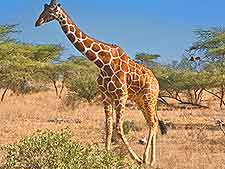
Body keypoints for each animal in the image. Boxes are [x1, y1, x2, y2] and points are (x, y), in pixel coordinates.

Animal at [34, 0, 165, 166]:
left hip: (149, 98)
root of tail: (156, 81)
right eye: (43, 9)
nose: (37, 22)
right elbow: (108, 127)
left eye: (51, 11)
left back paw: (146, 158)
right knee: (152, 122)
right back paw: (150, 159)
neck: (102, 62)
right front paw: (106, 157)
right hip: (140, 100)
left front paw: (135, 159)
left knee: (153, 123)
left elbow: (118, 128)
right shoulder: (106, 96)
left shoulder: (121, 96)